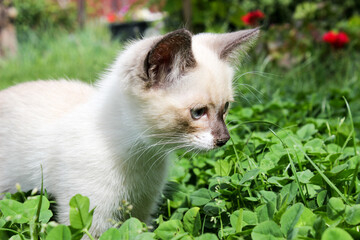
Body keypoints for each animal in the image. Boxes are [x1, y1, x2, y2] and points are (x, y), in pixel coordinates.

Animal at [0, 28, 258, 236]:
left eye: (226, 108)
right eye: (198, 113)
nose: (224, 139)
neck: (141, 156)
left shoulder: (143, 208)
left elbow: (139, 230)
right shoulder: (91, 216)